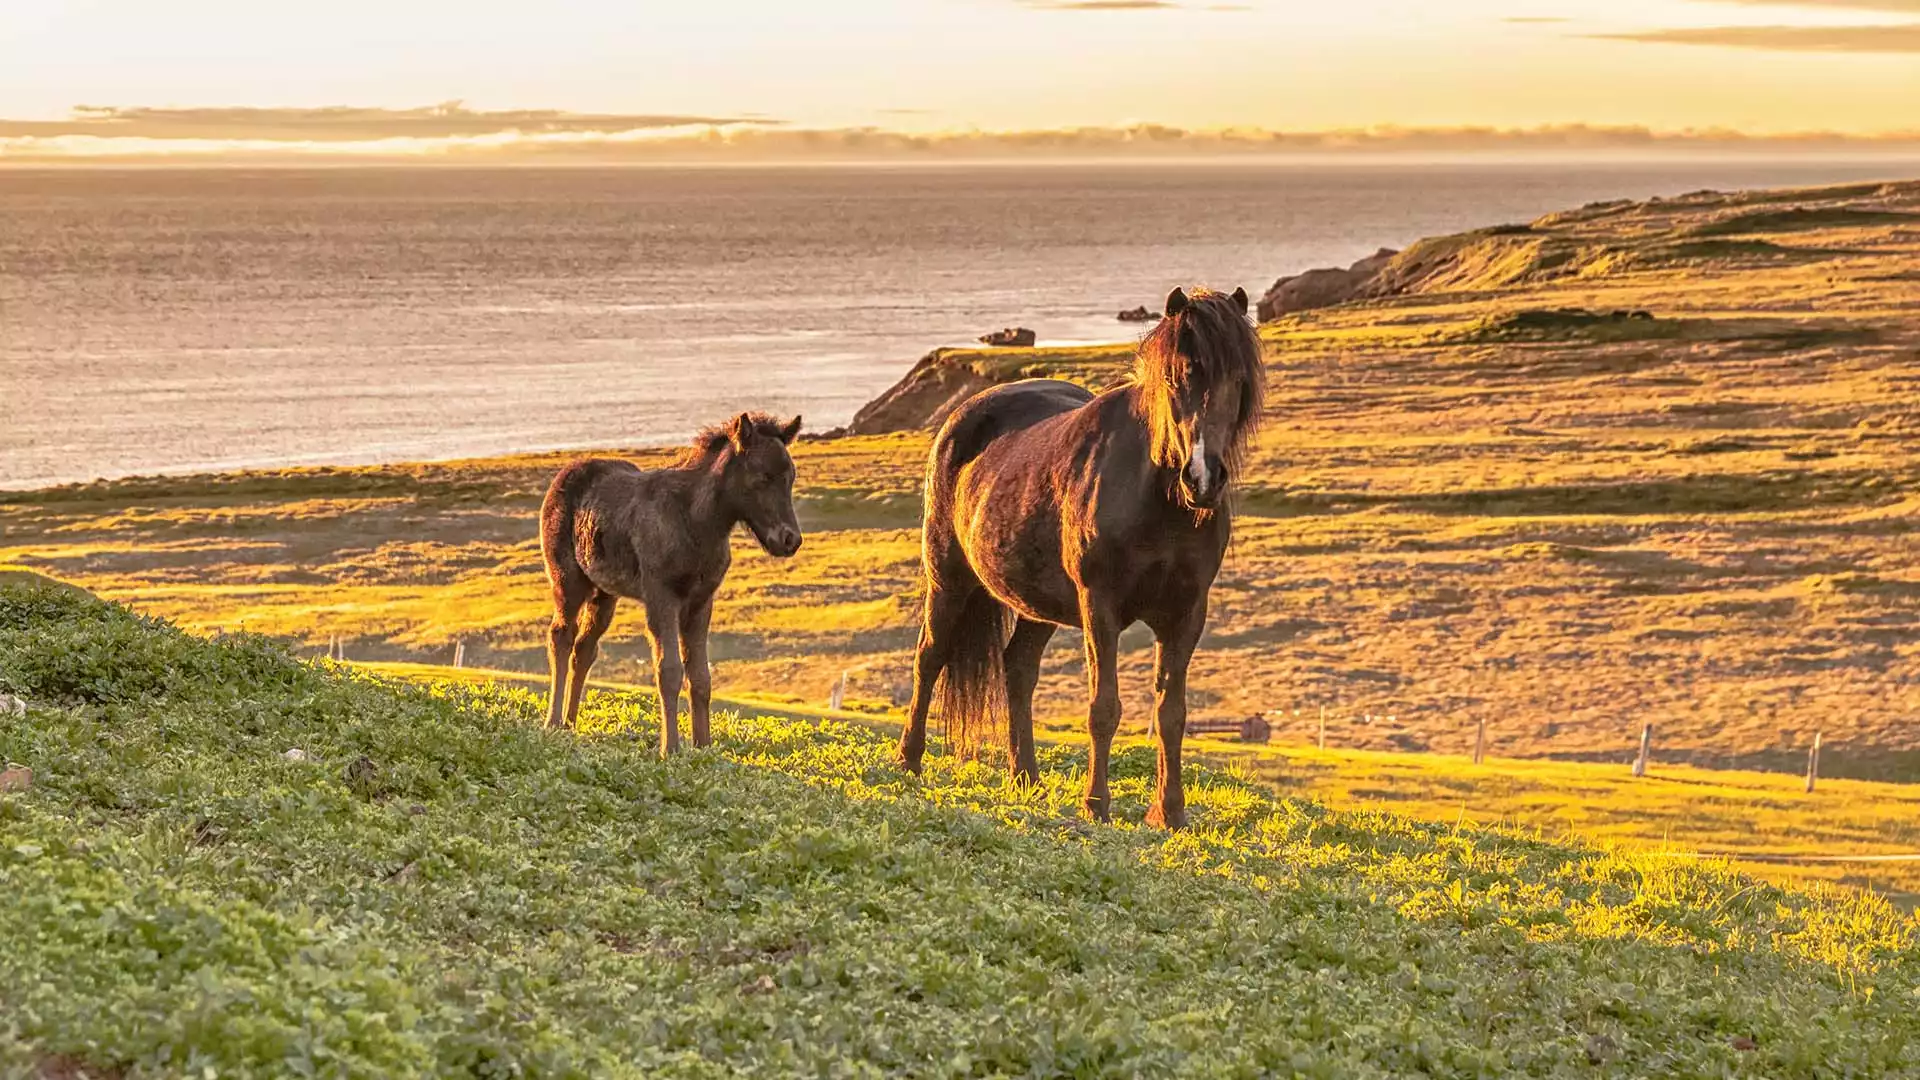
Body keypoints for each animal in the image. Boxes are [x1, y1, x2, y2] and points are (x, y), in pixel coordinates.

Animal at [541, 407, 802, 753]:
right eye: (762, 477)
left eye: (791, 477)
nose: (790, 540)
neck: (697, 523)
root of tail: (562, 476)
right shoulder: (661, 596)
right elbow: (669, 670)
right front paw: (670, 748)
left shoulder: (701, 601)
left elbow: (701, 677)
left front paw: (703, 746)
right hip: (568, 581)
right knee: (561, 637)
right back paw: (553, 722)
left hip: (604, 594)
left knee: (584, 649)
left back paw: (570, 723)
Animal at [894, 284, 1259, 822]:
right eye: (1177, 376)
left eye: (1238, 379)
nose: (1203, 478)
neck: (1157, 499)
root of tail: (963, 417)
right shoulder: (1099, 607)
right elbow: (1104, 707)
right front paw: (1096, 805)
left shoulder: (1187, 613)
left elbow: (1171, 713)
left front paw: (1170, 813)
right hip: (948, 579)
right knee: (930, 656)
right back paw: (909, 760)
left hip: (1035, 603)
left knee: (1018, 669)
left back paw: (1025, 776)